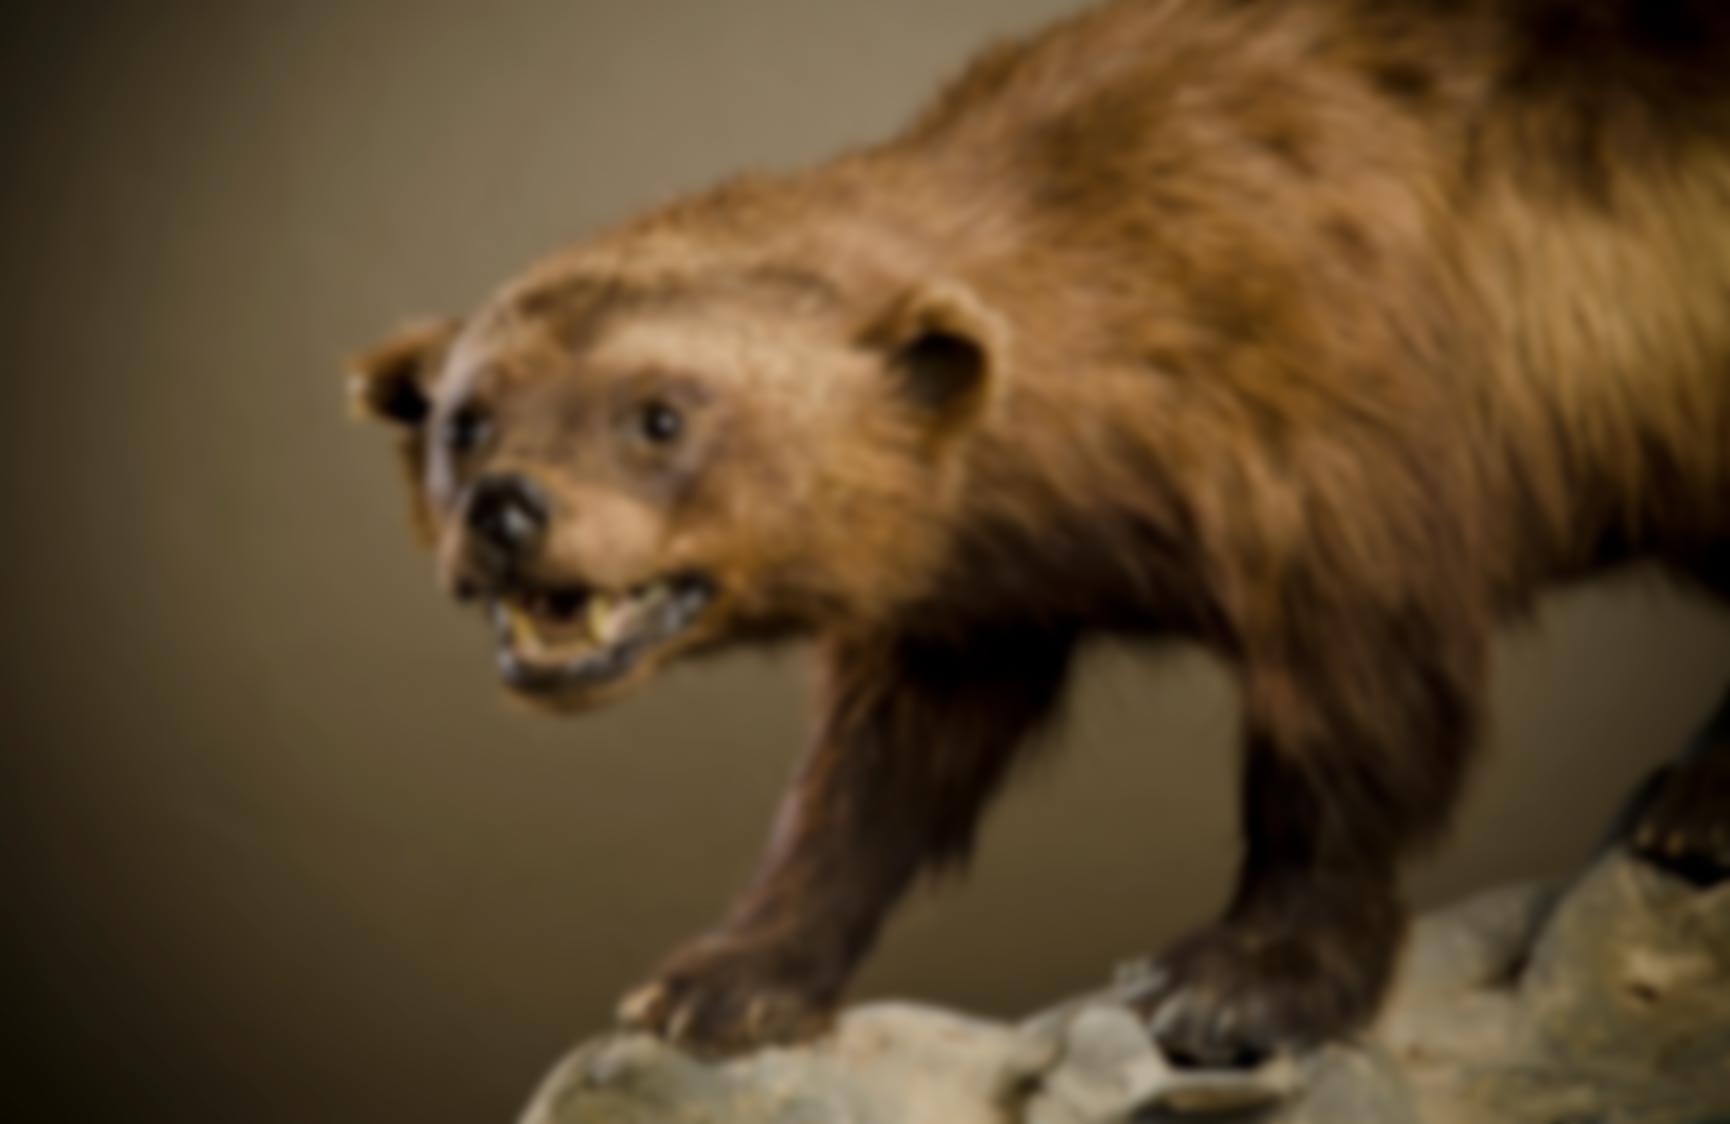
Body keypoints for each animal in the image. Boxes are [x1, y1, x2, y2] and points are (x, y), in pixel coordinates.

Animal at [349, 0, 1730, 1068]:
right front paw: (725, 973)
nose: (507, 506)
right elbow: (877, 772)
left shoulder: (1350, 442)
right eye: (467, 415)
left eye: (660, 411)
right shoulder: (974, 583)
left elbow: (1358, 722)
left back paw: (1694, 807)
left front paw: (1240, 978)